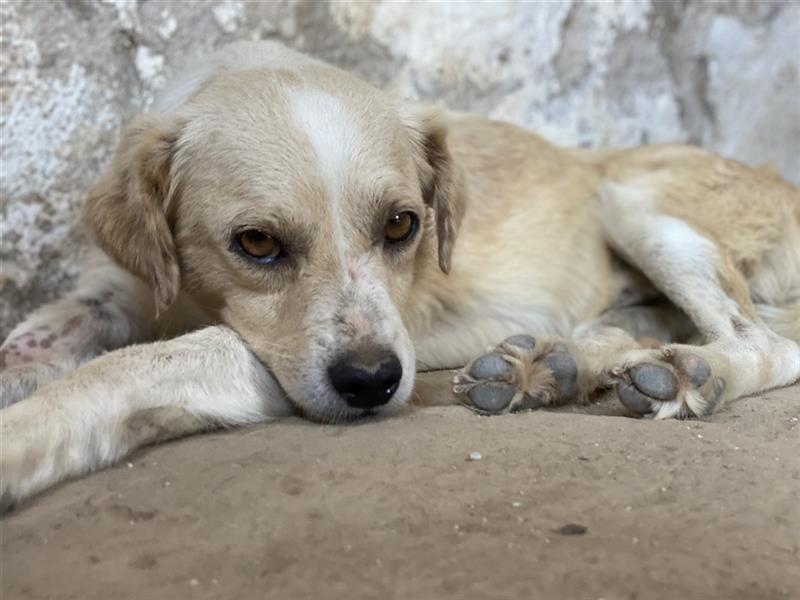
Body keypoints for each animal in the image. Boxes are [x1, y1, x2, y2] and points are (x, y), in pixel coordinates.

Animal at [1, 42, 800, 510]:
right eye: (256, 242)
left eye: (400, 226)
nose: (373, 383)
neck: (191, 295)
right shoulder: (120, 290)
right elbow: (40, 339)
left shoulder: (279, 357)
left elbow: (129, 367)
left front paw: (23, 437)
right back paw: (552, 365)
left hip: (635, 204)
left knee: (766, 343)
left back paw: (688, 374)